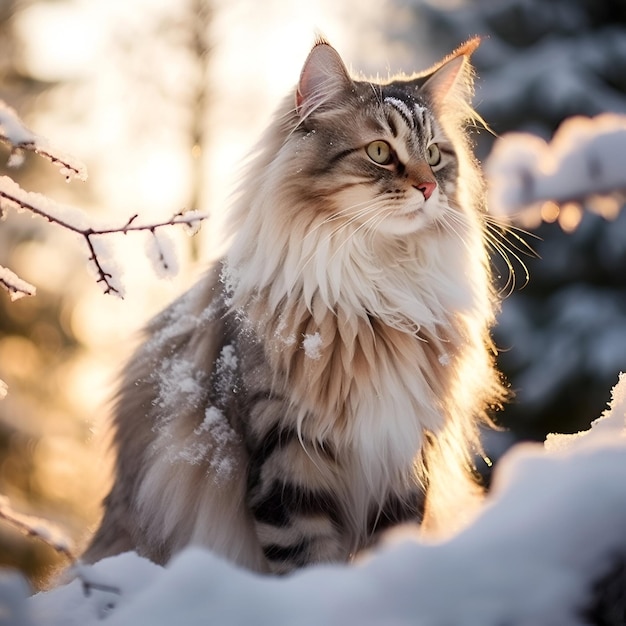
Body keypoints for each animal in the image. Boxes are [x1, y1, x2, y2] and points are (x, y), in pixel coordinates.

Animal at [81, 36, 502, 572]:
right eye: (380, 152)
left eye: (434, 154)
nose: (429, 188)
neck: (378, 291)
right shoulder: (287, 450)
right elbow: (308, 558)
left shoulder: (405, 450)